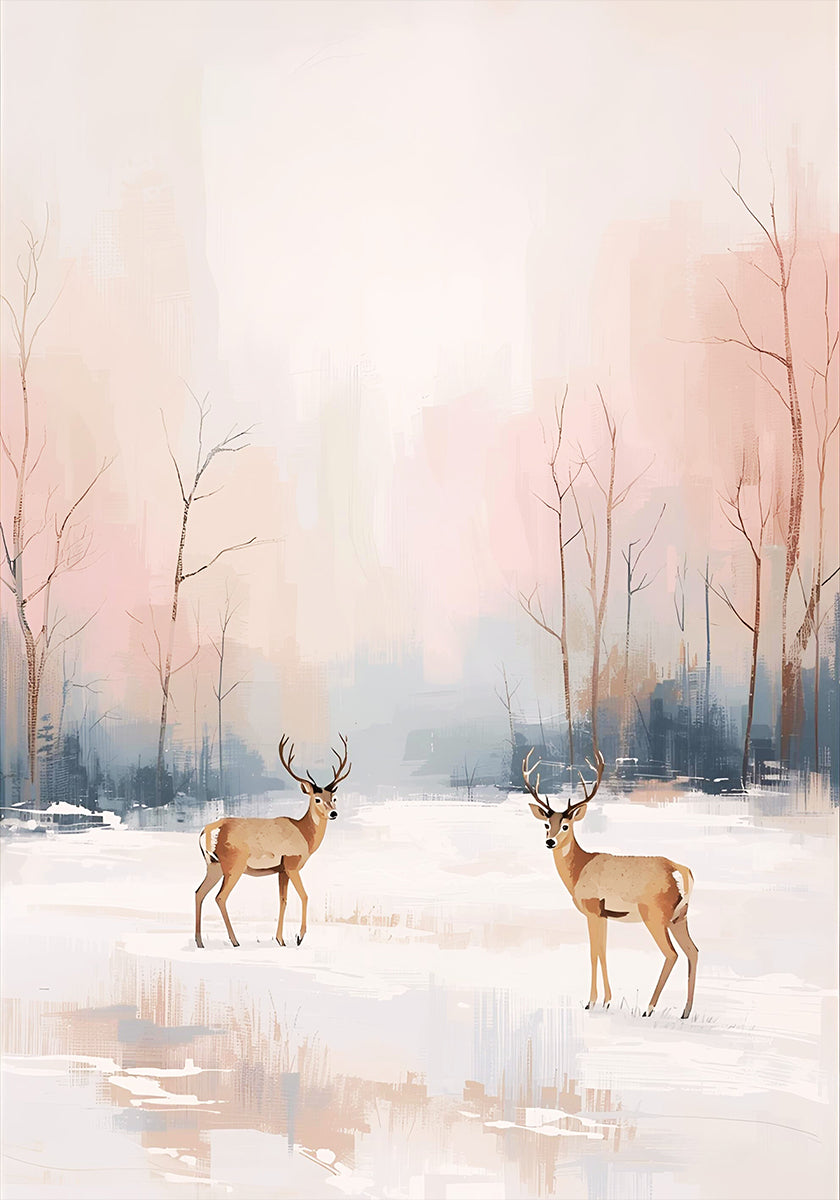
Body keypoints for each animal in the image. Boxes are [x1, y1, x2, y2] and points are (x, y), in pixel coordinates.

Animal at [194, 734, 351, 949]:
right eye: (317, 799)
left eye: (333, 797)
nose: (333, 813)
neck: (304, 835)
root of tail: (207, 832)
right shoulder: (292, 863)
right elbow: (304, 895)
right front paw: (299, 937)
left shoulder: (281, 869)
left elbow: (282, 900)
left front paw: (281, 940)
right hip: (234, 863)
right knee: (220, 897)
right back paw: (235, 941)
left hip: (214, 865)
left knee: (198, 893)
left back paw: (199, 942)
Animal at [522, 748, 698, 1019]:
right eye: (546, 824)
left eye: (566, 825)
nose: (550, 842)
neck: (579, 870)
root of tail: (680, 870)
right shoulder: (605, 914)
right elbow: (603, 951)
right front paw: (606, 1001)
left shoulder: (593, 908)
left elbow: (594, 952)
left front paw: (591, 1002)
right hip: (680, 916)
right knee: (693, 951)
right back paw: (686, 1011)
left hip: (655, 914)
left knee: (672, 953)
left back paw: (649, 1008)